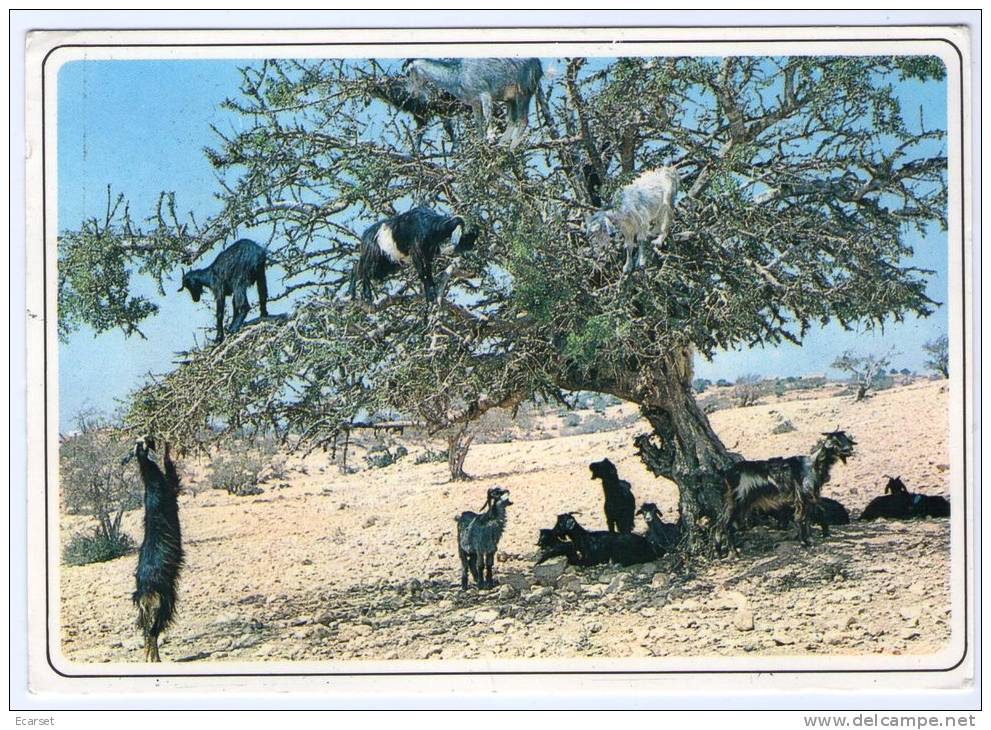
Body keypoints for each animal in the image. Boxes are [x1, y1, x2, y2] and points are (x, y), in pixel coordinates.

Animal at [348, 205, 480, 302]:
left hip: (385, 265)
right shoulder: (416, 251)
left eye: (475, 236)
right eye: (467, 235)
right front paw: (429, 296)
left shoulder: (427, 253)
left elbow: (428, 271)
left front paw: (432, 289)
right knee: (362, 269)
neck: (430, 225)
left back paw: (354, 294)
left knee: (359, 268)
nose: (470, 247)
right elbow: (422, 272)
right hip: (374, 258)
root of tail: (366, 236)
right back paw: (365, 295)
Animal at [402, 58, 544, 148]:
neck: (457, 75)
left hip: (523, 90)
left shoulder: (484, 93)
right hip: (511, 98)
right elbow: (478, 122)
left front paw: (491, 137)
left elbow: (487, 115)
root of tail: (538, 64)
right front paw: (480, 143)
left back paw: (511, 147)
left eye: (408, 73)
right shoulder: (474, 101)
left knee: (523, 120)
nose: (410, 94)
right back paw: (502, 144)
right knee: (513, 120)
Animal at [712, 430, 860, 556]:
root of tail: (728, 472)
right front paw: (803, 542)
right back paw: (734, 553)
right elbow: (800, 518)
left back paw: (719, 552)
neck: (813, 465)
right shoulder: (802, 496)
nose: (849, 450)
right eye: (835, 440)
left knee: (719, 523)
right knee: (726, 524)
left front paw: (809, 539)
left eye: (846, 439)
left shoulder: (808, 498)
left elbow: (807, 518)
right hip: (736, 502)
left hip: (736, 503)